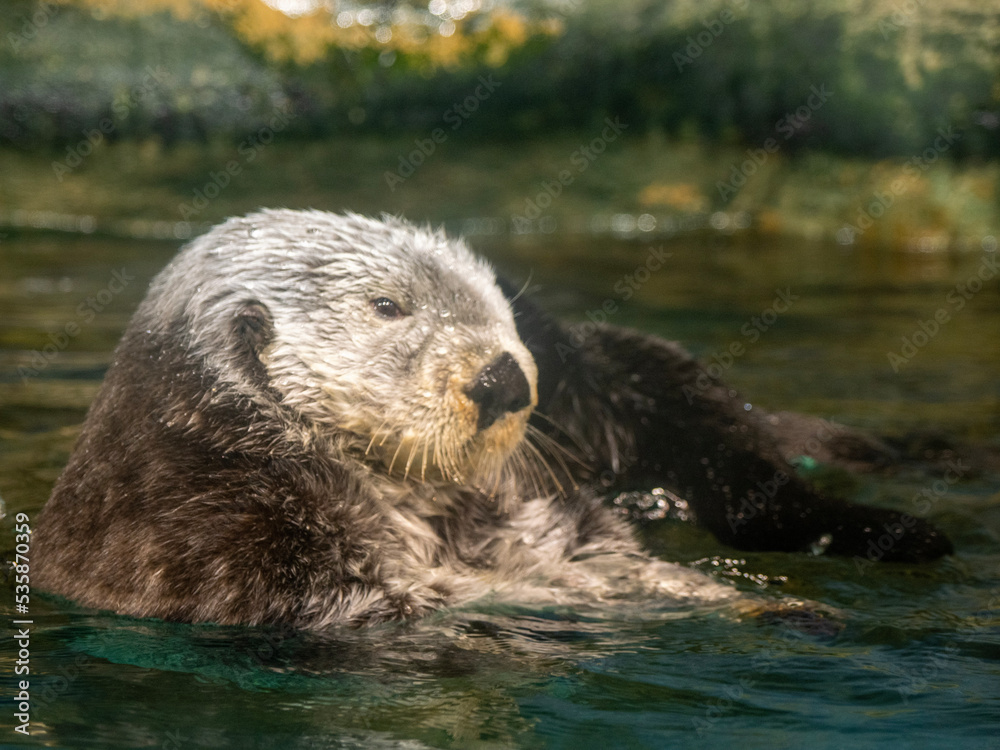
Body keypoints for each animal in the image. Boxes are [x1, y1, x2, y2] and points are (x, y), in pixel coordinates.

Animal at [33, 209, 952, 627]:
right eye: (388, 306)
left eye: (500, 312)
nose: (505, 377)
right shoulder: (234, 540)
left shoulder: (545, 523)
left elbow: (611, 562)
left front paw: (769, 608)